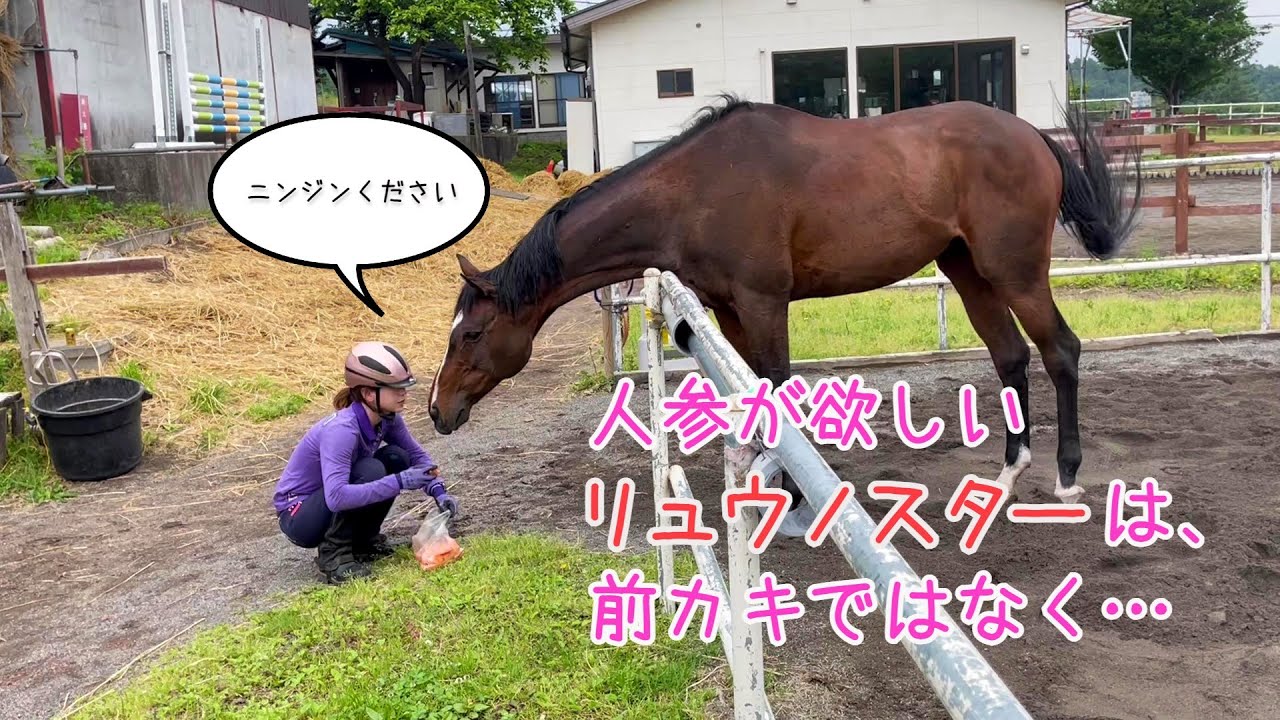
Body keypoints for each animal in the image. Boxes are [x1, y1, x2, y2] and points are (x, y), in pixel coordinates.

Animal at [428, 95, 1142, 506]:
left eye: (470, 334)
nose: (438, 411)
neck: (694, 191)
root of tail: (1032, 136)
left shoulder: (764, 302)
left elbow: (777, 387)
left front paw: (796, 492)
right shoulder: (729, 310)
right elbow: (752, 392)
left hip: (1015, 272)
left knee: (1060, 351)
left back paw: (1066, 475)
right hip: (969, 273)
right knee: (1011, 356)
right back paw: (1007, 474)